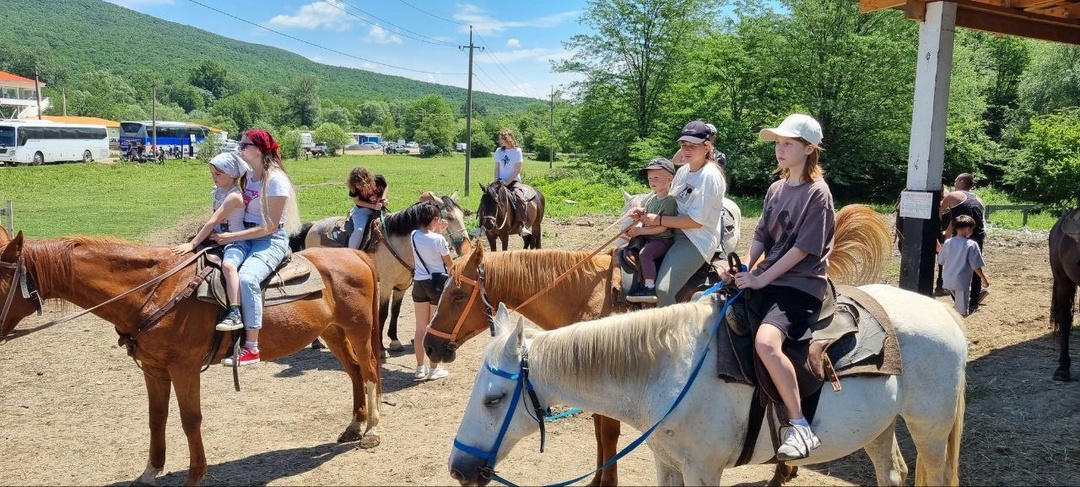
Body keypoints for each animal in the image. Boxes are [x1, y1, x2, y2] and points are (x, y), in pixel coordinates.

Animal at [0, 232, 384, 483]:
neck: (153, 289)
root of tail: (356, 256)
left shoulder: (184, 368)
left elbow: (190, 420)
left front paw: (195, 475)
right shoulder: (154, 369)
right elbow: (156, 418)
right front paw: (149, 472)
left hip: (359, 330)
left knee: (369, 372)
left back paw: (373, 429)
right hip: (331, 331)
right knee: (353, 372)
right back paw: (354, 425)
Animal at [425, 204, 889, 485]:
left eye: (457, 295)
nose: (430, 346)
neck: (589, 293)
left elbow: (608, 435)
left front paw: (604, 481)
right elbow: (604, 435)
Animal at [447, 287, 972, 485]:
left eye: (493, 399)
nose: (457, 468)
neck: (670, 373)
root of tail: (941, 310)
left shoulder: (704, 469)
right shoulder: (667, 464)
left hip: (930, 429)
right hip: (879, 428)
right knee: (892, 472)